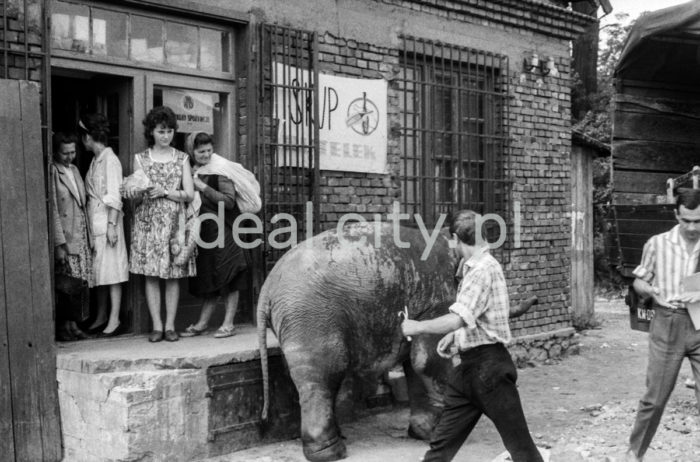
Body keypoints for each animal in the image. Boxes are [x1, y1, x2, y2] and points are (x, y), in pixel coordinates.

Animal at [258, 222, 536, 460]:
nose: (534, 298)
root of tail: (266, 289)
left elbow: (416, 362)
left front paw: (424, 432)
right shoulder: (437, 295)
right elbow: (426, 359)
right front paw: (433, 431)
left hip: (298, 322)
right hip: (312, 318)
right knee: (324, 376)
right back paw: (331, 453)